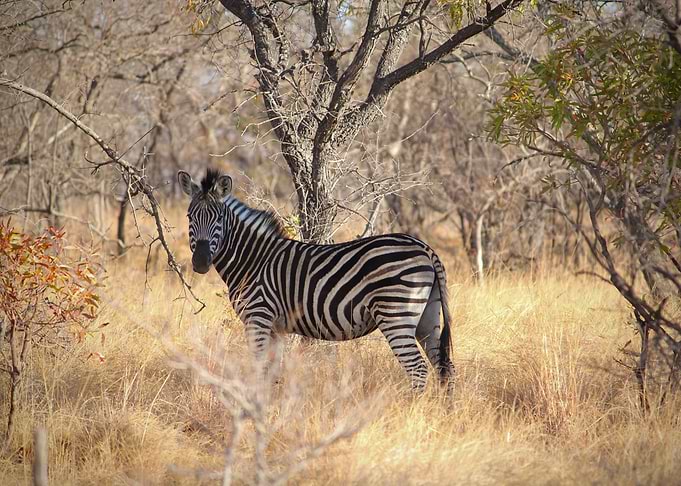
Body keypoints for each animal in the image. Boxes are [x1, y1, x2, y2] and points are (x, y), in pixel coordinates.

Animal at [178, 168, 455, 391]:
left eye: (219, 219)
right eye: (190, 217)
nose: (200, 262)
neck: (253, 260)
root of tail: (424, 247)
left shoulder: (258, 317)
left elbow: (259, 370)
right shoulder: (276, 327)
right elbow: (272, 373)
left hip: (396, 314)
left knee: (418, 369)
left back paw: (414, 413)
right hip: (427, 317)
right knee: (444, 366)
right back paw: (443, 415)